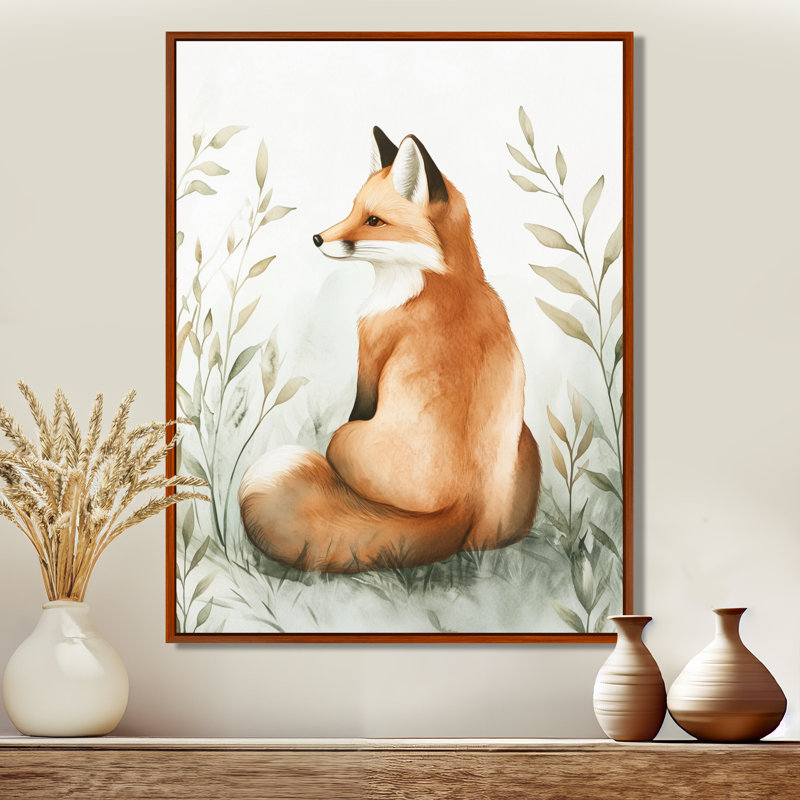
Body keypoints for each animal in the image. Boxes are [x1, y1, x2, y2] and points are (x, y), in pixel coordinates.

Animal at [238, 126, 541, 573]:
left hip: (342, 439)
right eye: (352, 210)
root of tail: (460, 508)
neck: (440, 278)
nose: (317, 238)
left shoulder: (370, 351)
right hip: (526, 443)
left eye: (374, 221)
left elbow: (360, 399)